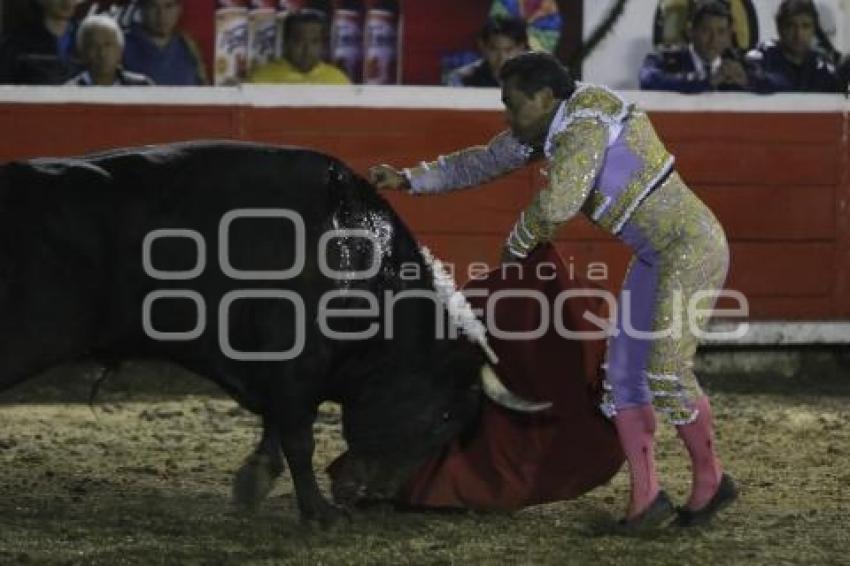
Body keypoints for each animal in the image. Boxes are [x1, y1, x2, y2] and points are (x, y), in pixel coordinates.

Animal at [0, 142, 544, 528]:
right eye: (444, 416)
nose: (373, 495)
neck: (358, 258)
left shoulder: (271, 367)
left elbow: (277, 426)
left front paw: (254, 481)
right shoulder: (295, 361)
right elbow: (299, 437)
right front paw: (320, 513)